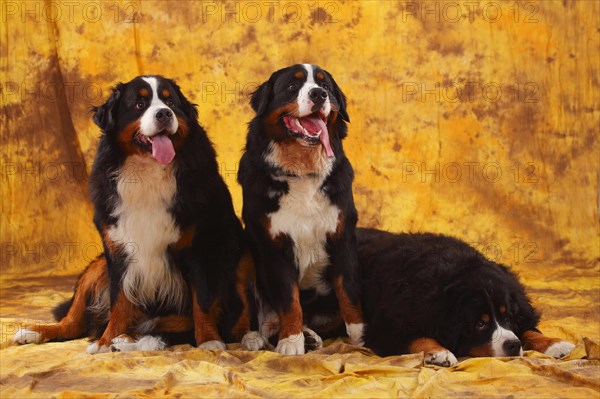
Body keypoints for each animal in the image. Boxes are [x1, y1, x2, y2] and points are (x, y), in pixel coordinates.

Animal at [12, 76, 253, 354]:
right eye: (139, 104)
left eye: (171, 102)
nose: (164, 113)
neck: (147, 170)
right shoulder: (118, 249)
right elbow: (119, 302)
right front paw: (105, 342)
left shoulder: (199, 247)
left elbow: (201, 302)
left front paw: (209, 341)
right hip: (96, 267)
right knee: (72, 323)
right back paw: (37, 331)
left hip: (242, 256)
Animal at [237, 64, 364, 354]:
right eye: (293, 86)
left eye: (325, 86)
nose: (318, 94)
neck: (302, 172)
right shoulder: (275, 245)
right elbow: (289, 300)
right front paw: (291, 341)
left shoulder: (342, 236)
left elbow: (349, 292)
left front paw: (360, 337)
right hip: (244, 260)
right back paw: (255, 337)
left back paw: (311, 336)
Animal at [304, 230, 576, 368]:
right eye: (480, 324)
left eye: (507, 315)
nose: (512, 345)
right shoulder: (386, 326)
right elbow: (417, 337)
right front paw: (440, 352)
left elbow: (528, 327)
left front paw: (554, 343)